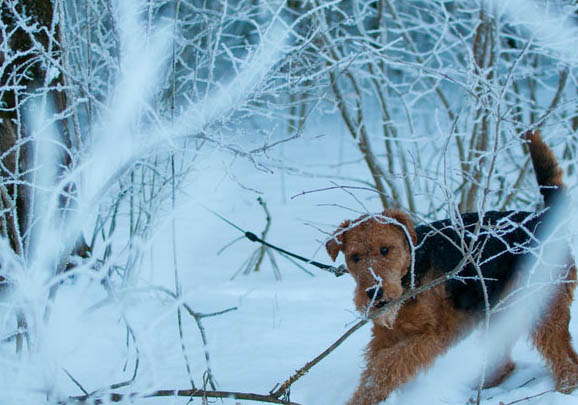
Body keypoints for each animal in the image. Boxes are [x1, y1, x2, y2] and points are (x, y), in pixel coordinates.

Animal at [326, 131, 572, 402]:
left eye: (385, 249)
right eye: (355, 257)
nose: (374, 293)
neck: (410, 273)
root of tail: (545, 218)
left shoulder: (432, 336)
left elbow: (386, 366)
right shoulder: (384, 337)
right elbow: (373, 374)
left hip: (543, 307)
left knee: (568, 360)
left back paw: (563, 391)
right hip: (501, 309)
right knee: (508, 362)